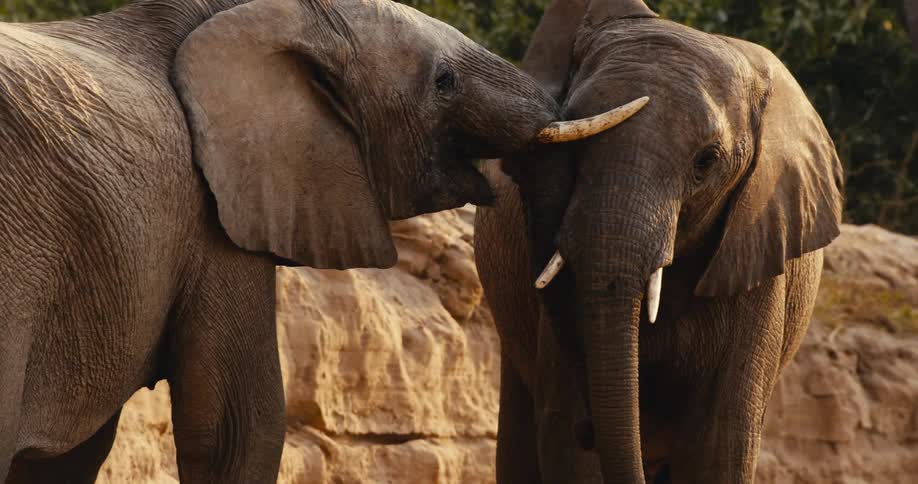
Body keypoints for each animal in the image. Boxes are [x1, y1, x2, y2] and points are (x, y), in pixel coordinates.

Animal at [475, 0, 845, 482]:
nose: (589, 429)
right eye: (573, 137)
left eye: (706, 162)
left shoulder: (758, 256)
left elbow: (720, 445)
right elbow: (565, 445)